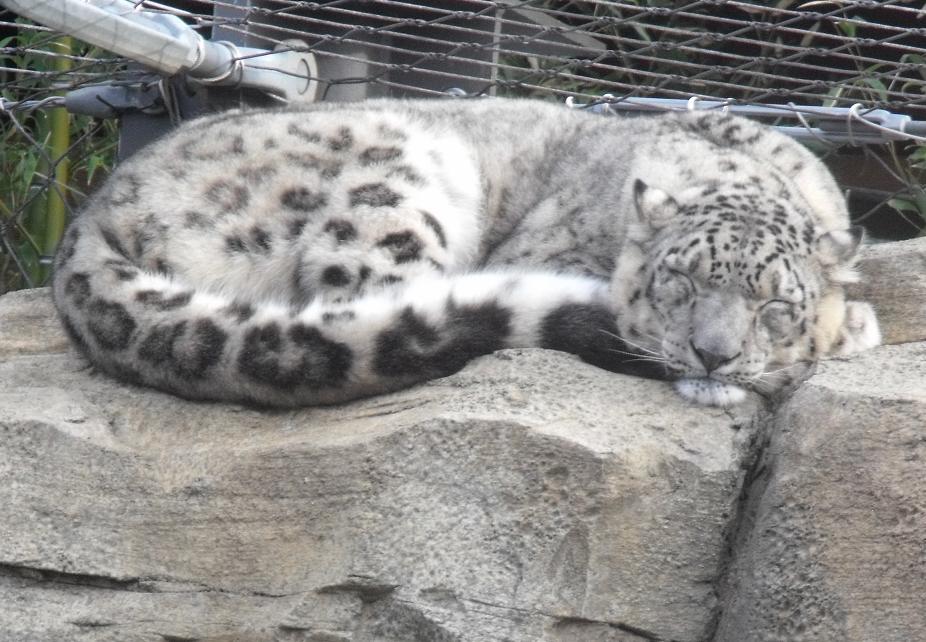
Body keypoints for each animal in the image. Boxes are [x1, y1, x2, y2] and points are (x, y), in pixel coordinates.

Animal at [51, 97, 881, 407]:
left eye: (775, 306)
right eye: (678, 280)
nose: (713, 355)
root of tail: (95, 207)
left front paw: (850, 325)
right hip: (398, 185)